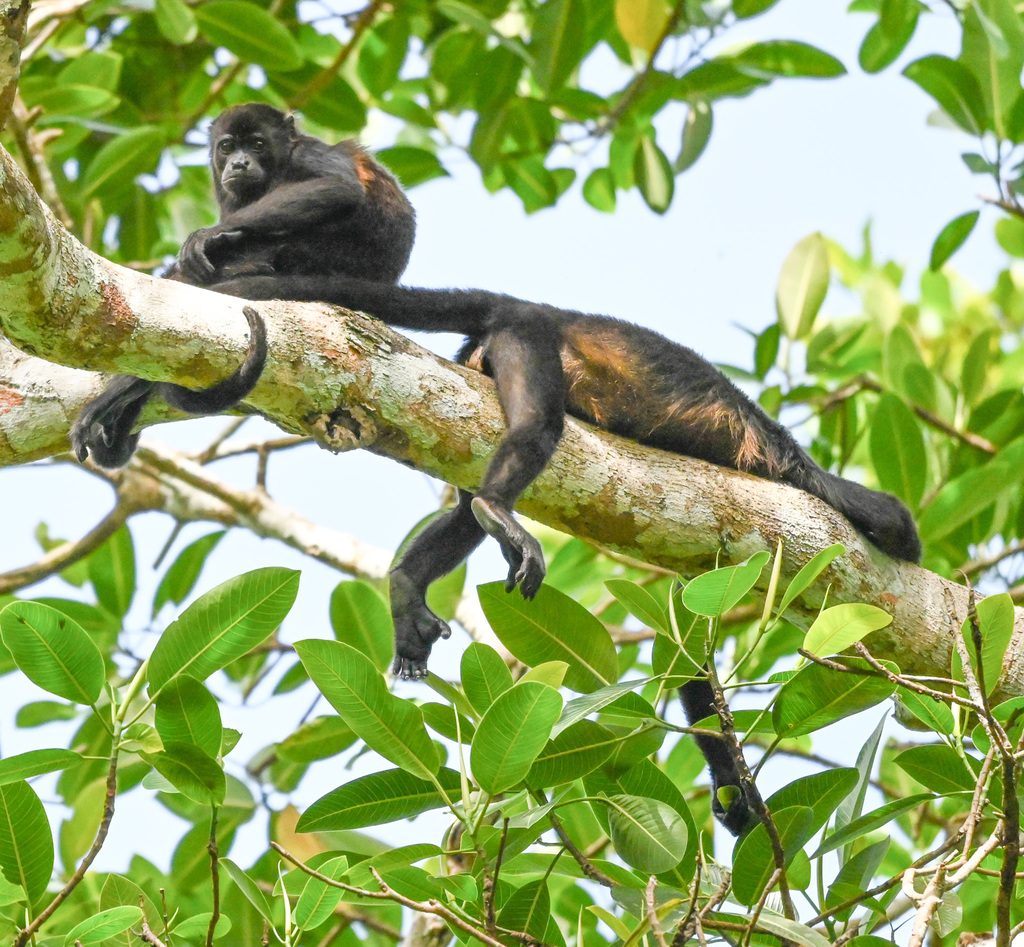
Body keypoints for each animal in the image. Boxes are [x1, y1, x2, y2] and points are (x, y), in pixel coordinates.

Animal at [71, 103, 415, 468]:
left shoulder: (307, 152)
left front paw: (206, 235)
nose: (239, 163)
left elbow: (337, 185)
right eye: (227, 147)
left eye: (258, 145)